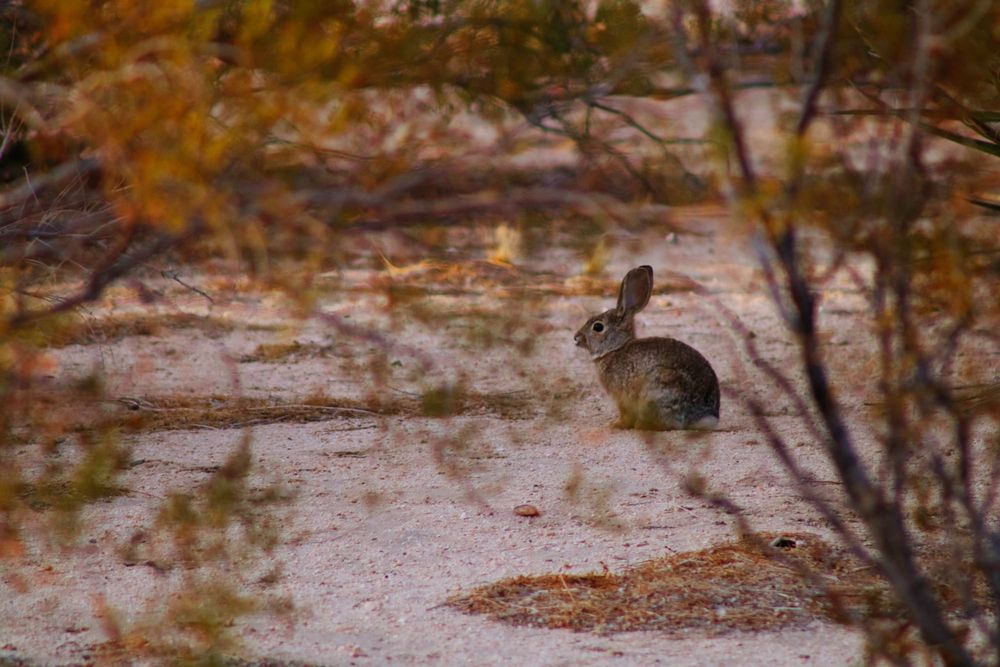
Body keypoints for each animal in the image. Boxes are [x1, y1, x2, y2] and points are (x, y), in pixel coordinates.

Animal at [574, 265, 720, 430]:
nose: (576, 338)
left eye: (598, 327)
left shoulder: (622, 397)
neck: (615, 348)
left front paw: (615, 424)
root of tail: (702, 416)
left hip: (660, 389)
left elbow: (625, 414)